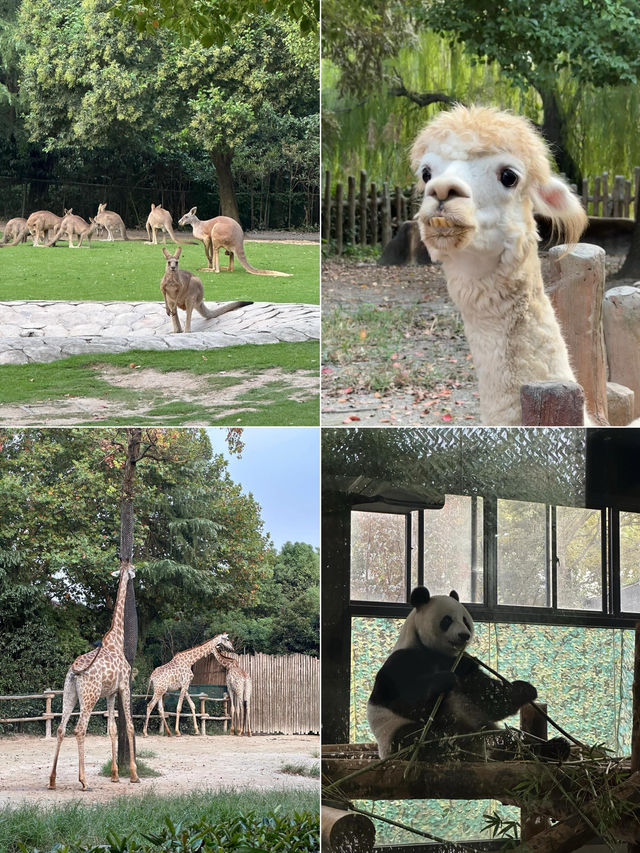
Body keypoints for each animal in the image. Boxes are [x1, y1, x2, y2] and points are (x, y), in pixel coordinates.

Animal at [49, 560, 140, 792]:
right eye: (132, 568)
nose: (135, 573)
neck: (116, 640)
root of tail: (74, 670)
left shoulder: (110, 693)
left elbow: (112, 729)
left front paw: (115, 775)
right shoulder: (124, 686)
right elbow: (130, 726)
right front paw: (134, 775)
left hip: (69, 693)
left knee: (61, 728)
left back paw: (52, 780)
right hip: (89, 697)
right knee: (79, 729)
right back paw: (83, 781)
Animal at [368, 584, 568, 760]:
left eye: (465, 620)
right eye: (447, 620)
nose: (464, 635)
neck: (438, 654)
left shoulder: (464, 667)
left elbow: (488, 697)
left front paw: (523, 689)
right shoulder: (403, 662)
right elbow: (407, 700)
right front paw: (443, 682)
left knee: (506, 739)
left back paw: (553, 748)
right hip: (394, 733)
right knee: (417, 738)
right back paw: (448, 751)